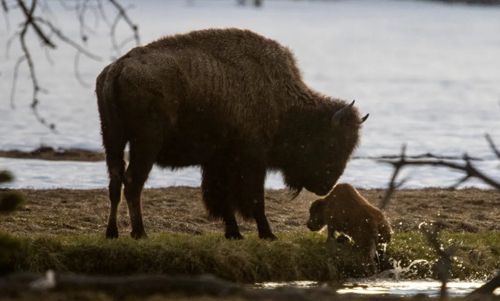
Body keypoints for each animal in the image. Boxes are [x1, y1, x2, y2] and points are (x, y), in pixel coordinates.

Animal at [95, 27, 368, 239]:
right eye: (332, 143)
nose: (326, 185)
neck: (280, 99)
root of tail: (118, 68)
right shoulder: (251, 160)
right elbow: (254, 199)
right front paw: (267, 234)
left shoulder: (218, 162)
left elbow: (222, 198)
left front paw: (234, 233)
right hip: (145, 143)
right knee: (132, 182)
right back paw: (139, 232)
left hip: (112, 138)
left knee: (115, 181)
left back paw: (112, 232)